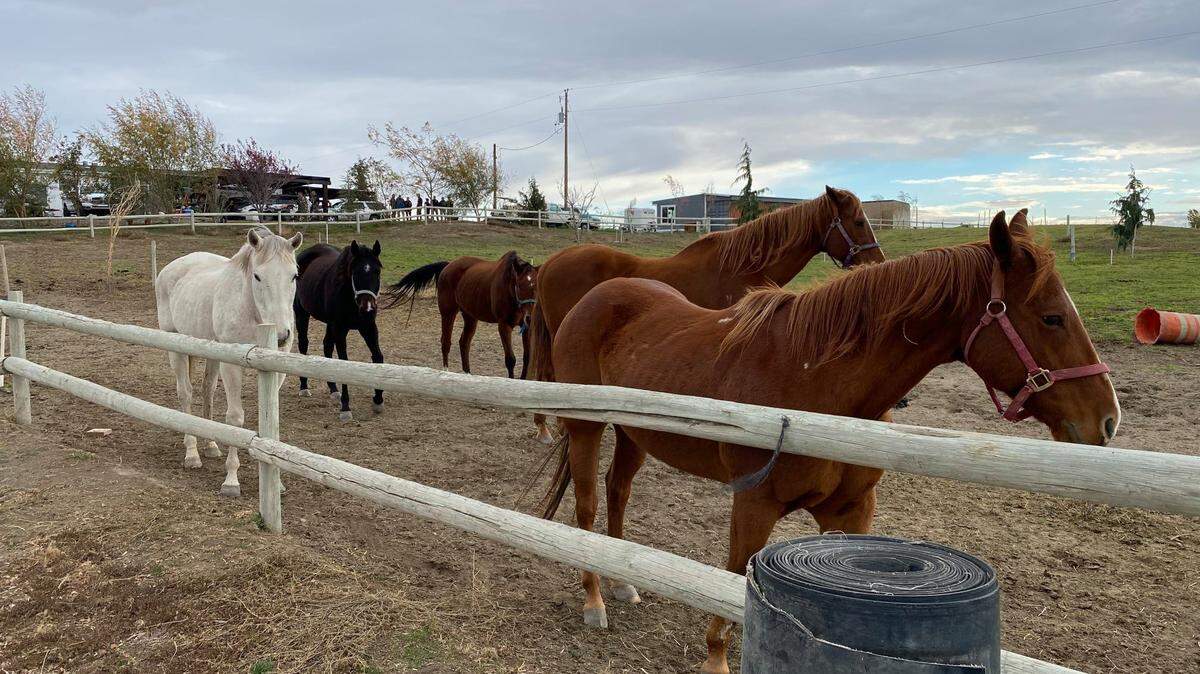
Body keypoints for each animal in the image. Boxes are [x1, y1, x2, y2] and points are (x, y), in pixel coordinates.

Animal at [155, 227, 302, 497]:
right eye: (257, 276)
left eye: (294, 275)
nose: (281, 336)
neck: (253, 311)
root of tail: (173, 267)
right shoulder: (232, 367)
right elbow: (235, 418)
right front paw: (231, 480)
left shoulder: (276, 369)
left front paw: (277, 483)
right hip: (176, 347)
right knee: (185, 393)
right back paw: (192, 453)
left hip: (213, 354)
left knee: (207, 391)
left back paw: (211, 445)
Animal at [293, 240, 385, 421]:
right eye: (355, 272)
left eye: (377, 271)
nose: (368, 307)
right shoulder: (340, 329)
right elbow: (344, 363)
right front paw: (345, 407)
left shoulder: (368, 327)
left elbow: (378, 357)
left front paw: (378, 399)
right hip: (302, 314)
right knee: (303, 345)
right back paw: (304, 387)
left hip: (330, 324)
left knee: (327, 346)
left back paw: (333, 389)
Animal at [384, 251, 537, 378]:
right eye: (519, 285)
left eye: (536, 287)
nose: (529, 317)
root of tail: (448, 265)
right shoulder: (504, 325)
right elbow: (510, 359)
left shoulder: (526, 327)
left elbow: (528, 357)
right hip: (448, 313)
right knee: (446, 342)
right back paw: (446, 371)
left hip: (470, 317)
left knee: (464, 342)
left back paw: (467, 373)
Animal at [539, 210, 1119, 673]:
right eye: (1051, 317)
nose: (1107, 420)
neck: (814, 384)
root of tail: (597, 296)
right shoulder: (753, 502)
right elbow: (734, 575)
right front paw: (716, 655)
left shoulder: (851, 510)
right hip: (586, 427)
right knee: (587, 506)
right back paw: (595, 600)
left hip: (634, 432)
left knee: (617, 492)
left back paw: (622, 581)